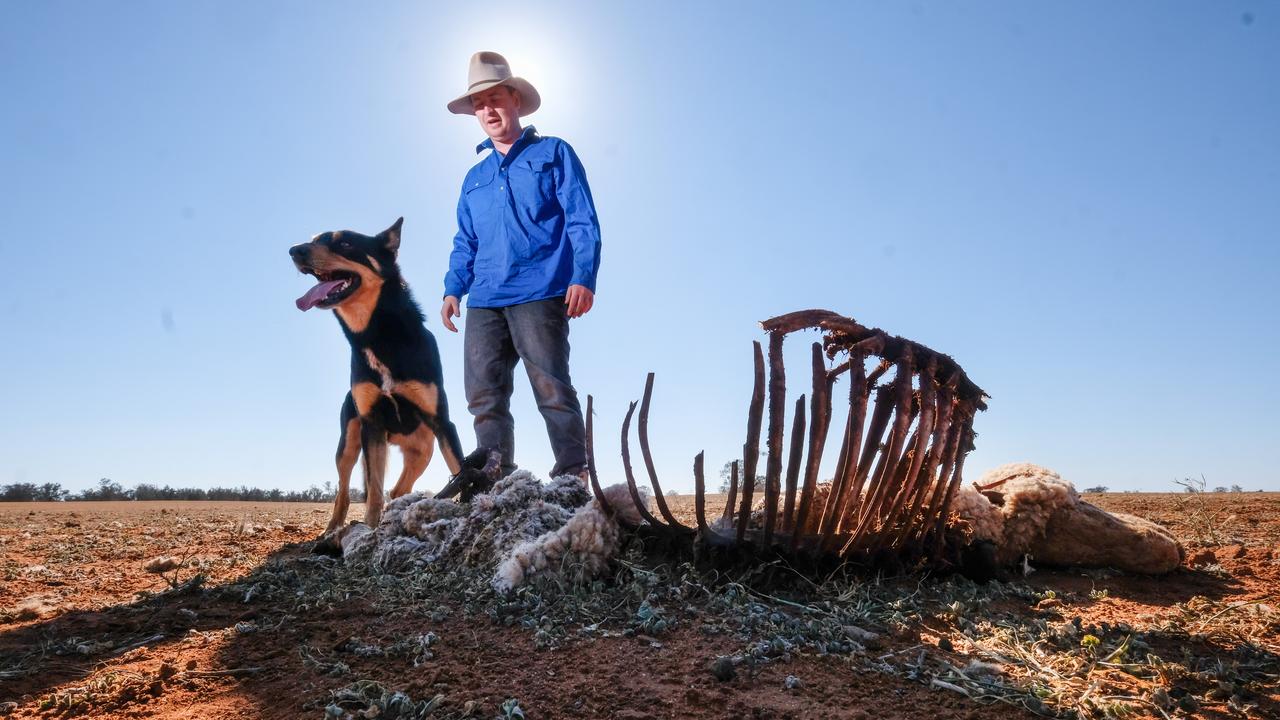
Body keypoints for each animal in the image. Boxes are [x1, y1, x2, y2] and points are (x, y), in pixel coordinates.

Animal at [290, 215, 488, 540]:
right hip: (349, 443)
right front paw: (370, 532)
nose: (295, 250)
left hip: (422, 451)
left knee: (396, 490)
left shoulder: (442, 423)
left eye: (346, 243)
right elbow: (373, 493)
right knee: (345, 491)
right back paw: (333, 529)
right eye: (316, 239)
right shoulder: (372, 424)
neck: (376, 334)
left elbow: (461, 469)